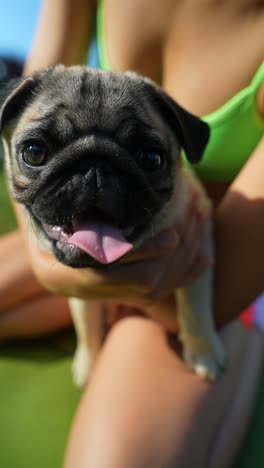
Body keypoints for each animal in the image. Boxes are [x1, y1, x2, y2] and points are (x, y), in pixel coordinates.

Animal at [0, 66, 226, 388]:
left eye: (151, 158)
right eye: (34, 152)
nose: (95, 167)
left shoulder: (199, 247)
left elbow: (195, 306)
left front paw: (204, 352)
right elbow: (86, 325)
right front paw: (90, 364)